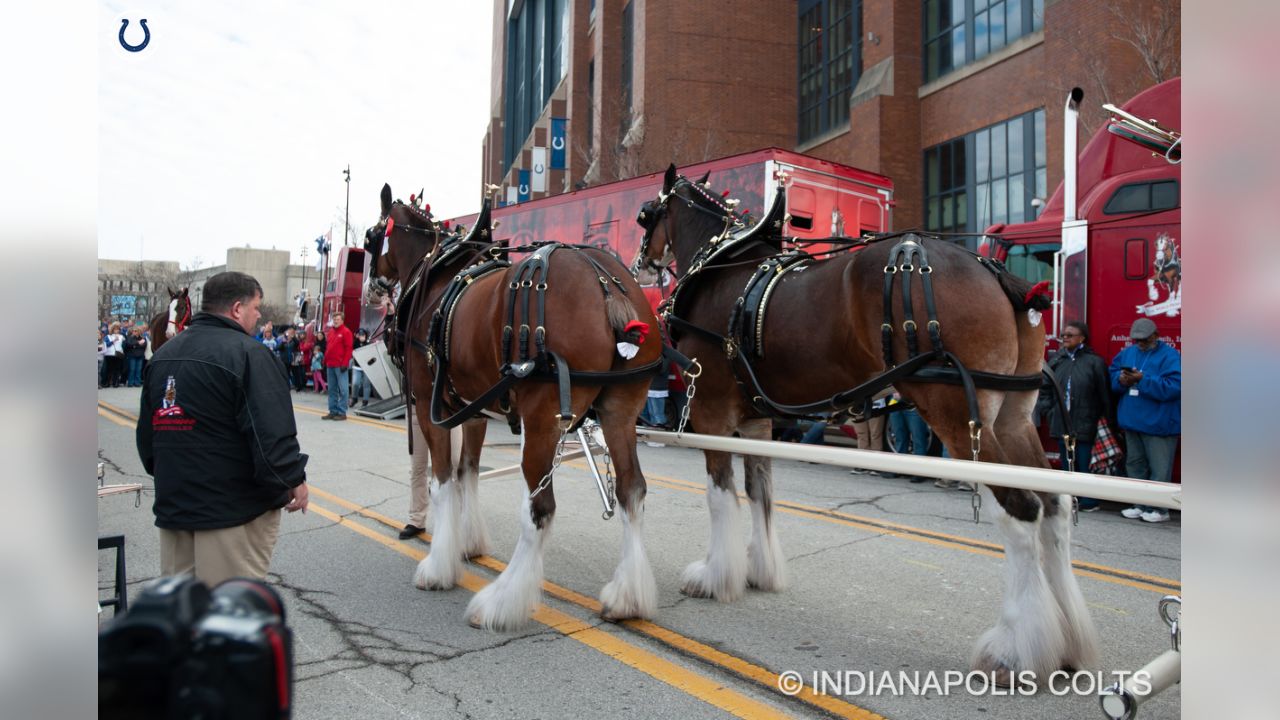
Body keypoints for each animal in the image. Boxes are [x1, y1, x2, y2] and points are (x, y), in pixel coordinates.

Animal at [366, 184, 665, 627]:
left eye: (371, 238)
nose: (371, 286)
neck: (435, 280)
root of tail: (605, 284)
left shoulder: (430, 409)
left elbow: (442, 481)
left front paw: (438, 567)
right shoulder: (472, 410)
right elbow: (468, 472)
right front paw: (469, 543)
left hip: (541, 421)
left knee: (540, 509)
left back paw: (502, 602)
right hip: (620, 413)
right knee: (632, 491)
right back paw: (628, 598)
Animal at [629, 163, 1100, 681]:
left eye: (646, 214)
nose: (639, 264)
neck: (721, 267)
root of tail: (996, 275)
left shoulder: (711, 410)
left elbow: (720, 495)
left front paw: (715, 577)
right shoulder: (756, 420)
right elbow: (759, 492)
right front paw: (760, 571)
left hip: (959, 416)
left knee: (1019, 510)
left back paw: (1016, 648)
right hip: (1014, 418)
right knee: (1055, 503)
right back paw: (1068, 641)